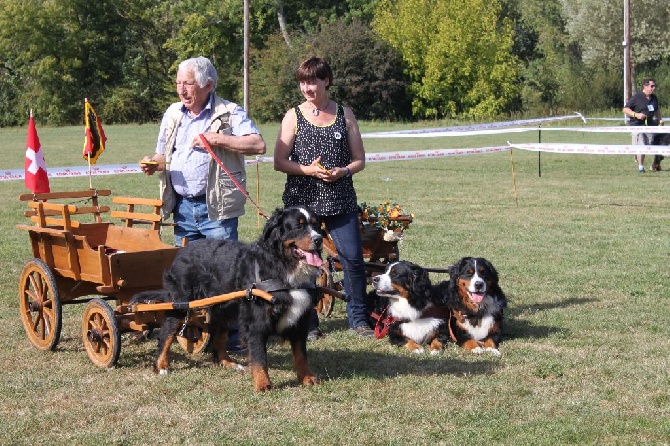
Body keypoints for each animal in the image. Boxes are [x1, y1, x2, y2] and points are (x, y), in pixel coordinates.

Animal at [132, 206, 326, 390]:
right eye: (299, 226)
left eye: (316, 225)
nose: (319, 240)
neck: (284, 267)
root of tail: (182, 250)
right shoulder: (257, 322)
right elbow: (259, 357)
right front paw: (263, 385)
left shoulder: (300, 320)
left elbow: (301, 355)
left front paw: (307, 378)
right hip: (181, 304)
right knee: (166, 334)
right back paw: (161, 365)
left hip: (224, 309)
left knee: (218, 337)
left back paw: (228, 363)